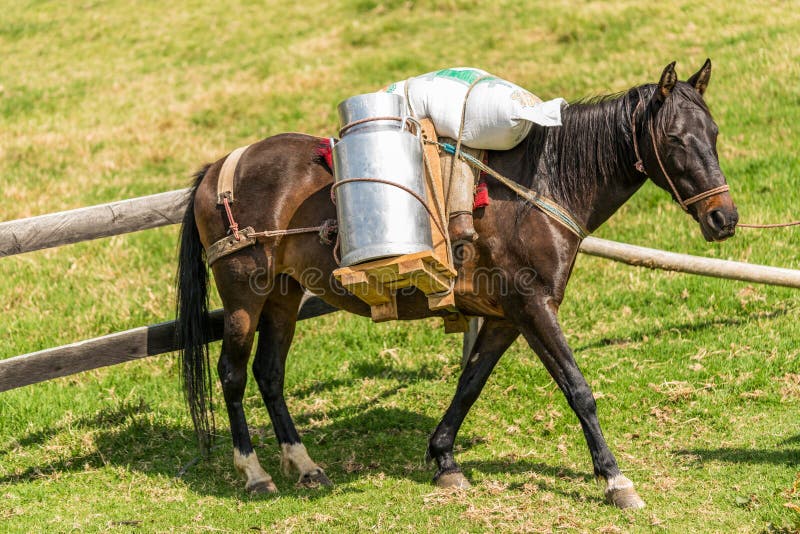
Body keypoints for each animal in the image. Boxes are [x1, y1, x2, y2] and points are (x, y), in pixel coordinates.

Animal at [176, 60, 738, 508]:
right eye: (675, 139)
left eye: (712, 132)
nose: (724, 218)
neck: (536, 189)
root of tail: (216, 170)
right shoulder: (534, 307)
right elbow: (578, 389)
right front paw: (615, 480)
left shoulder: (505, 317)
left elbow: (470, 383)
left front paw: (444, 459)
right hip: (245, 296)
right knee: (233, 375)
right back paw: (255, 473)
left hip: (284, 296)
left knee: (269, 374)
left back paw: (304, 464)